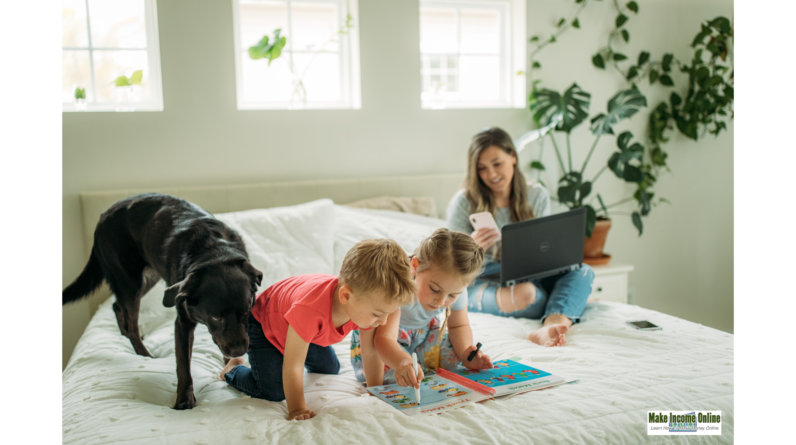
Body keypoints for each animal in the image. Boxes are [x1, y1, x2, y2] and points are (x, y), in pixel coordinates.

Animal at [63, 194, 262, 410]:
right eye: (216, 317)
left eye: (247, 312)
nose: (240, 350)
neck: (215, 253)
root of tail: (103, 215)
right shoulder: (182, 322)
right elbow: (183, 365)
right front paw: (184, 401)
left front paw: (229, 364)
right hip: (130, 281)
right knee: (131, 321)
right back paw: (144, 354)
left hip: (148, 277)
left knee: (117, 306)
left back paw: (124, 334)